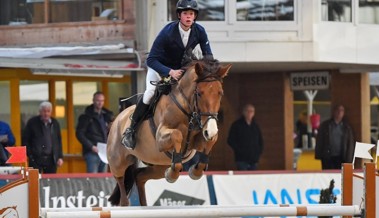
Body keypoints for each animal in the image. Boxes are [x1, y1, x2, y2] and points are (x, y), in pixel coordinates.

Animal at [106, 58, 232, 206]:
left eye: (220, 93)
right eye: (199, 93)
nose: (210, 130)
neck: (188, 110)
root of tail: (118, 118)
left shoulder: (199, 138)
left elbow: (211, 141)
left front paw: (195, 171)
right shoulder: (161, 138)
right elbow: (177, 135)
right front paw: (172, 175)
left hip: (158, 166)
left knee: (139, 176)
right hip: (118, 162)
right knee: (121, 186)